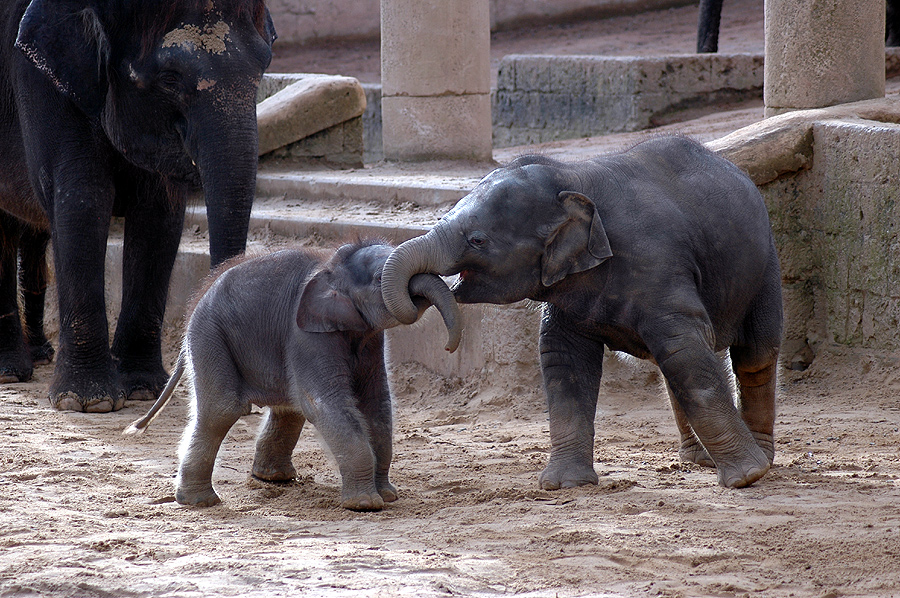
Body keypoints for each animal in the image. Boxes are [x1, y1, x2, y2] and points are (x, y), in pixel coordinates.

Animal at [0, 0, 274, 412]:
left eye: (264, 66)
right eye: (170, 79)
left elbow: (159, 213)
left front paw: (143, 388)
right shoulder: (38, 78)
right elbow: (82, 199)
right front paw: (88, 402)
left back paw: (33, 359)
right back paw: (10, 372)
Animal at [125, 241, 460, 512]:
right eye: (380, 278)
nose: (448, 346)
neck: (331, 268)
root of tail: (195, 304)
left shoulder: (370, 340)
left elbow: (376, 403)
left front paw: (388, 495)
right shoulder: (306, 336)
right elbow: (326, 404)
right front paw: (366, 504)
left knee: (288, 407)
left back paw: (274, 479)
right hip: (210, 337)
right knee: (222, 409)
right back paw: (200, 502)